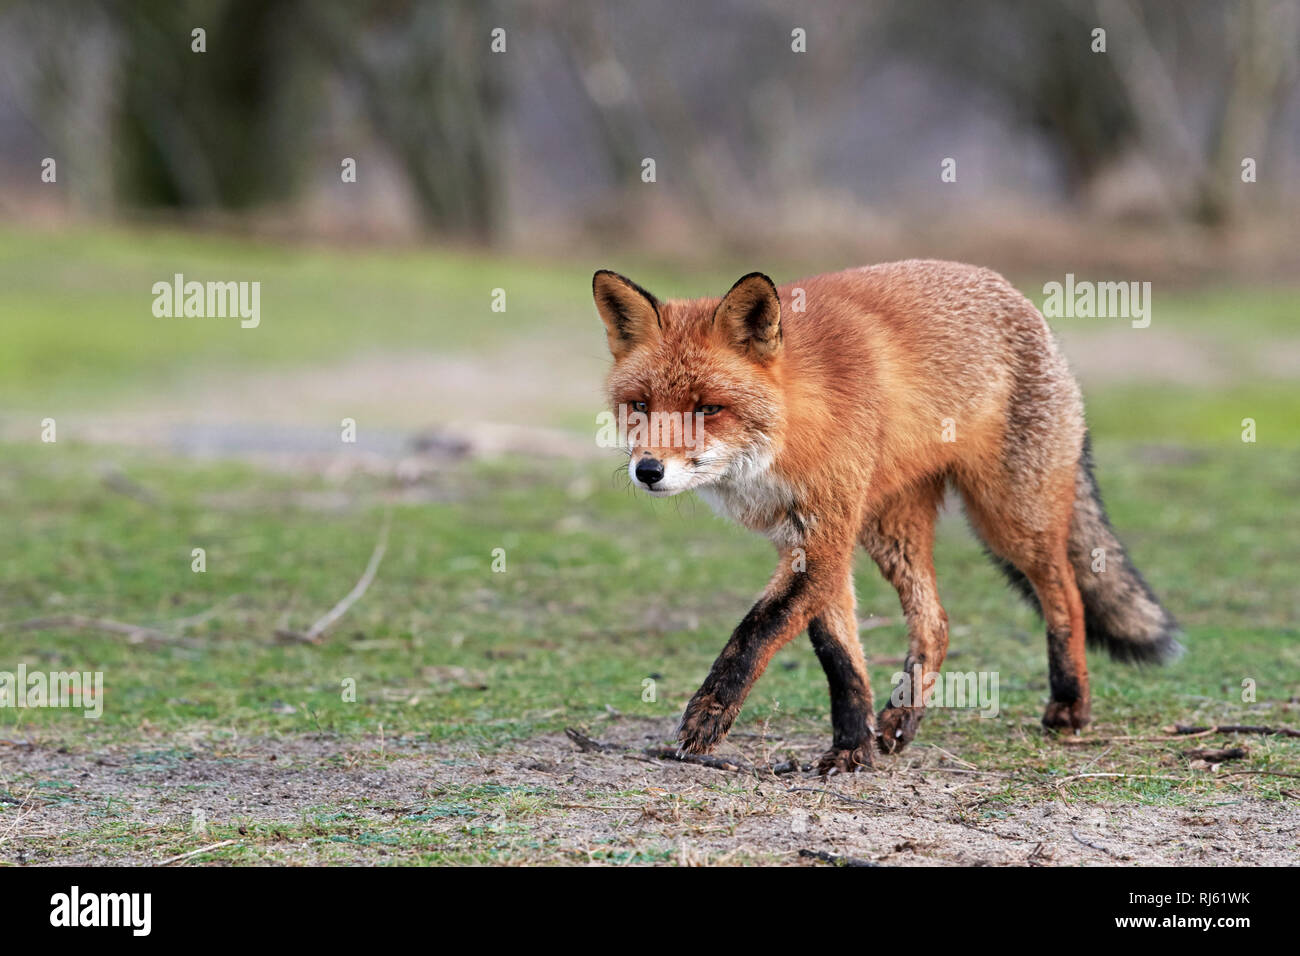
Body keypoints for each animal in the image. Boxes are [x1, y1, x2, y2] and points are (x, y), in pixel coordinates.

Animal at [595, 257, 1185, 775]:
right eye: (641, 405)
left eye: (708, 408)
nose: (648, 470)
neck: (793, 428)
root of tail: (1014, 295)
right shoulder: (810, 543)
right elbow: (839, 656)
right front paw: (852, 748)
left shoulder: (826, 537)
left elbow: (755, 631)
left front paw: (709, 714)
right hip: (890, 529)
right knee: (937, 621)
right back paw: (904, 718)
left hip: (1009, 518)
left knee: (1066, 596)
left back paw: (1070, 704)